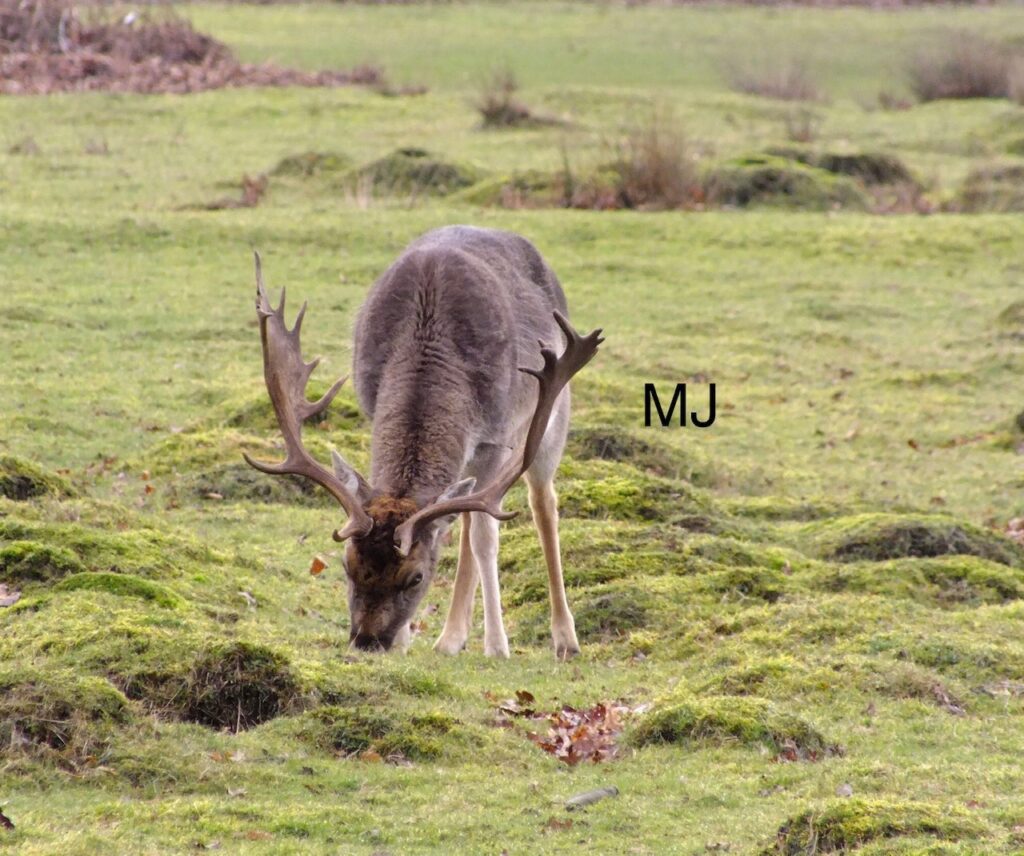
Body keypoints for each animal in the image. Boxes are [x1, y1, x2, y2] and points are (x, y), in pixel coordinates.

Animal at [244, 226, 602, 659]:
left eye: (415, 578)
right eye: (347, 565)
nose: (368, 641)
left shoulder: (496, 438)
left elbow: (486, 537)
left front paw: (497, 646)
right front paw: (409, 640)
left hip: (551, 418)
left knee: (542, 503)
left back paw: (565, 638)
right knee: (462, 516)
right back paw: (450, 638)